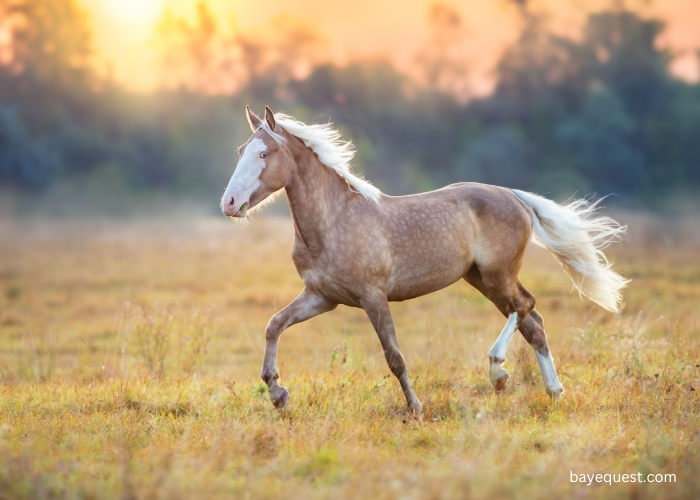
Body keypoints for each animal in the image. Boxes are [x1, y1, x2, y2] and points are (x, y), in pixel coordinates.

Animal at [220, 105, 628, 418]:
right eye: (239, 150)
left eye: (264, 154)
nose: (230, 203)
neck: (333, 221)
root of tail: (514, 196)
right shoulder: (322, 298)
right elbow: (274, 325)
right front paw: (278, 394)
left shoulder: (372, 297)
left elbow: (394, 356)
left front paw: (415, 408)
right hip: (481, 280)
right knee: (534, 323)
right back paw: (553, 392)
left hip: (497, 276)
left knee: (525, 306)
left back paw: (498, 371)